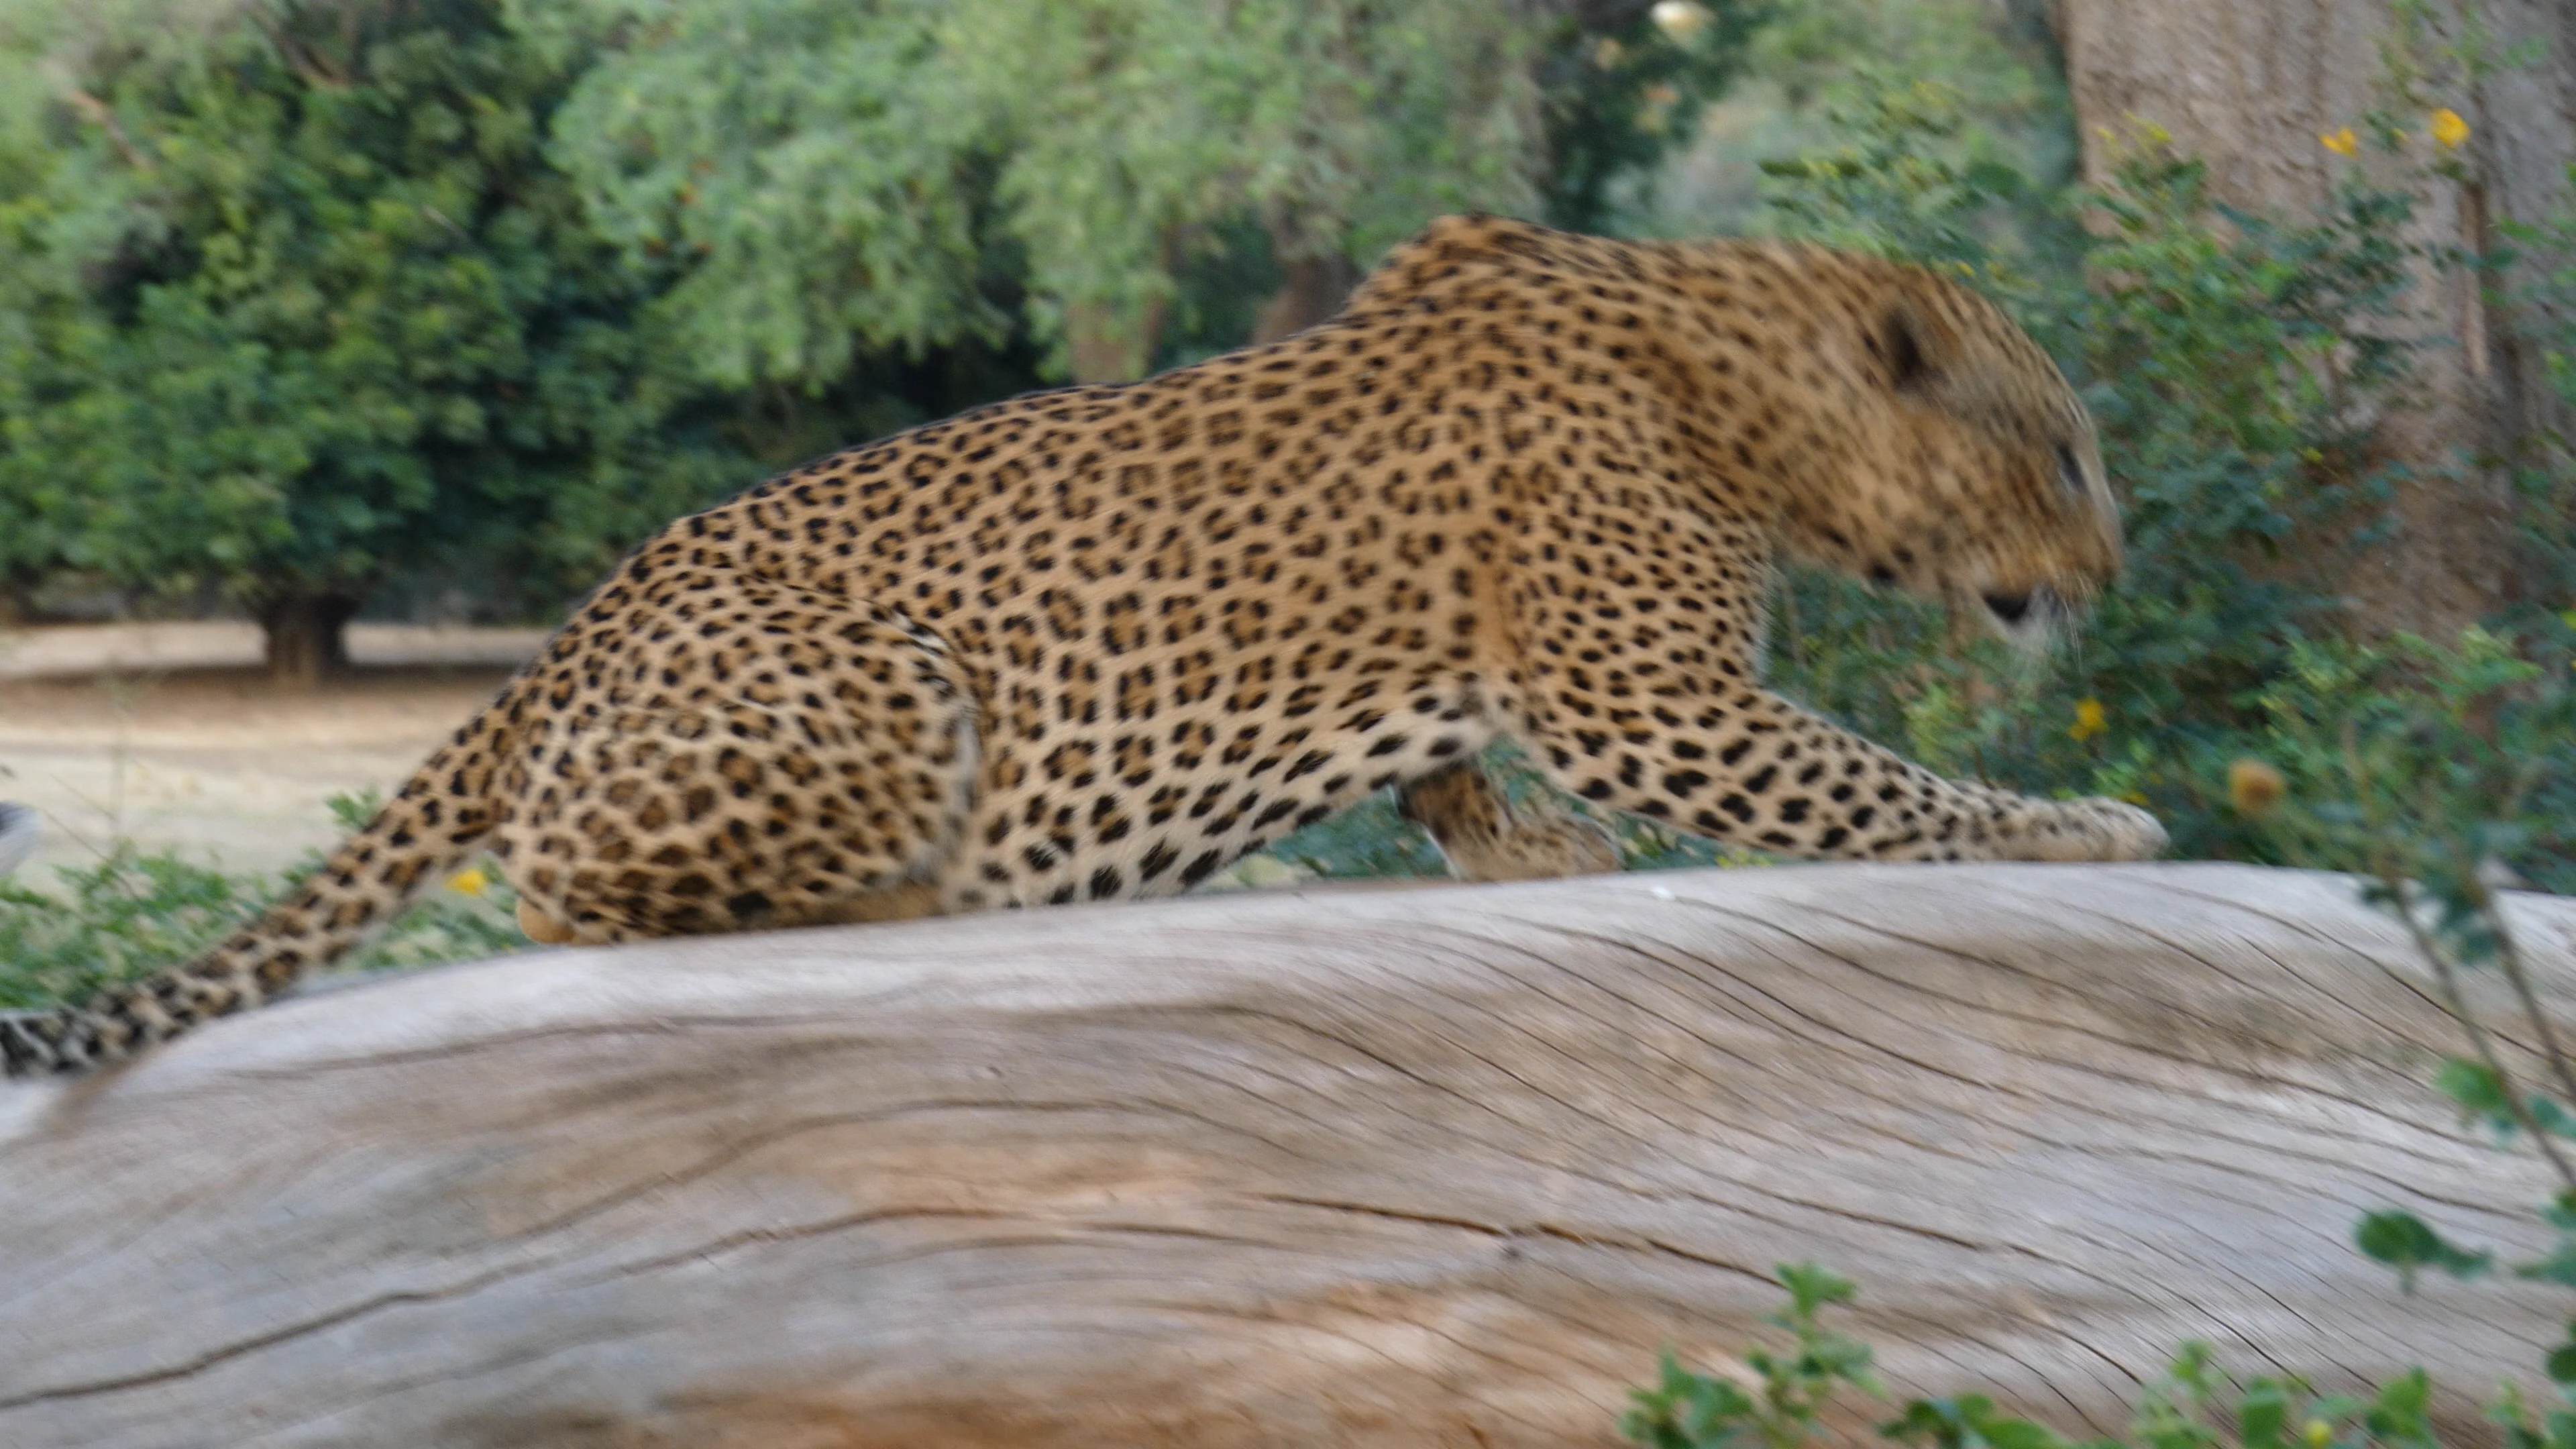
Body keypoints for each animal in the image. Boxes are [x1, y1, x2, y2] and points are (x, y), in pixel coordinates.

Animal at [1, 213, 2163, 1078]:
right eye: (2061, 446)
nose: (2111, 567)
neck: (1740, 384)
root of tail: (563, 639)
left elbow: (1459, 761)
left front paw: (1517, 845)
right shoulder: (1658, 694)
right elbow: (1881, 784)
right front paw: (2087, 831)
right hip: (884, 674)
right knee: (558, 892)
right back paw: (911, 894)